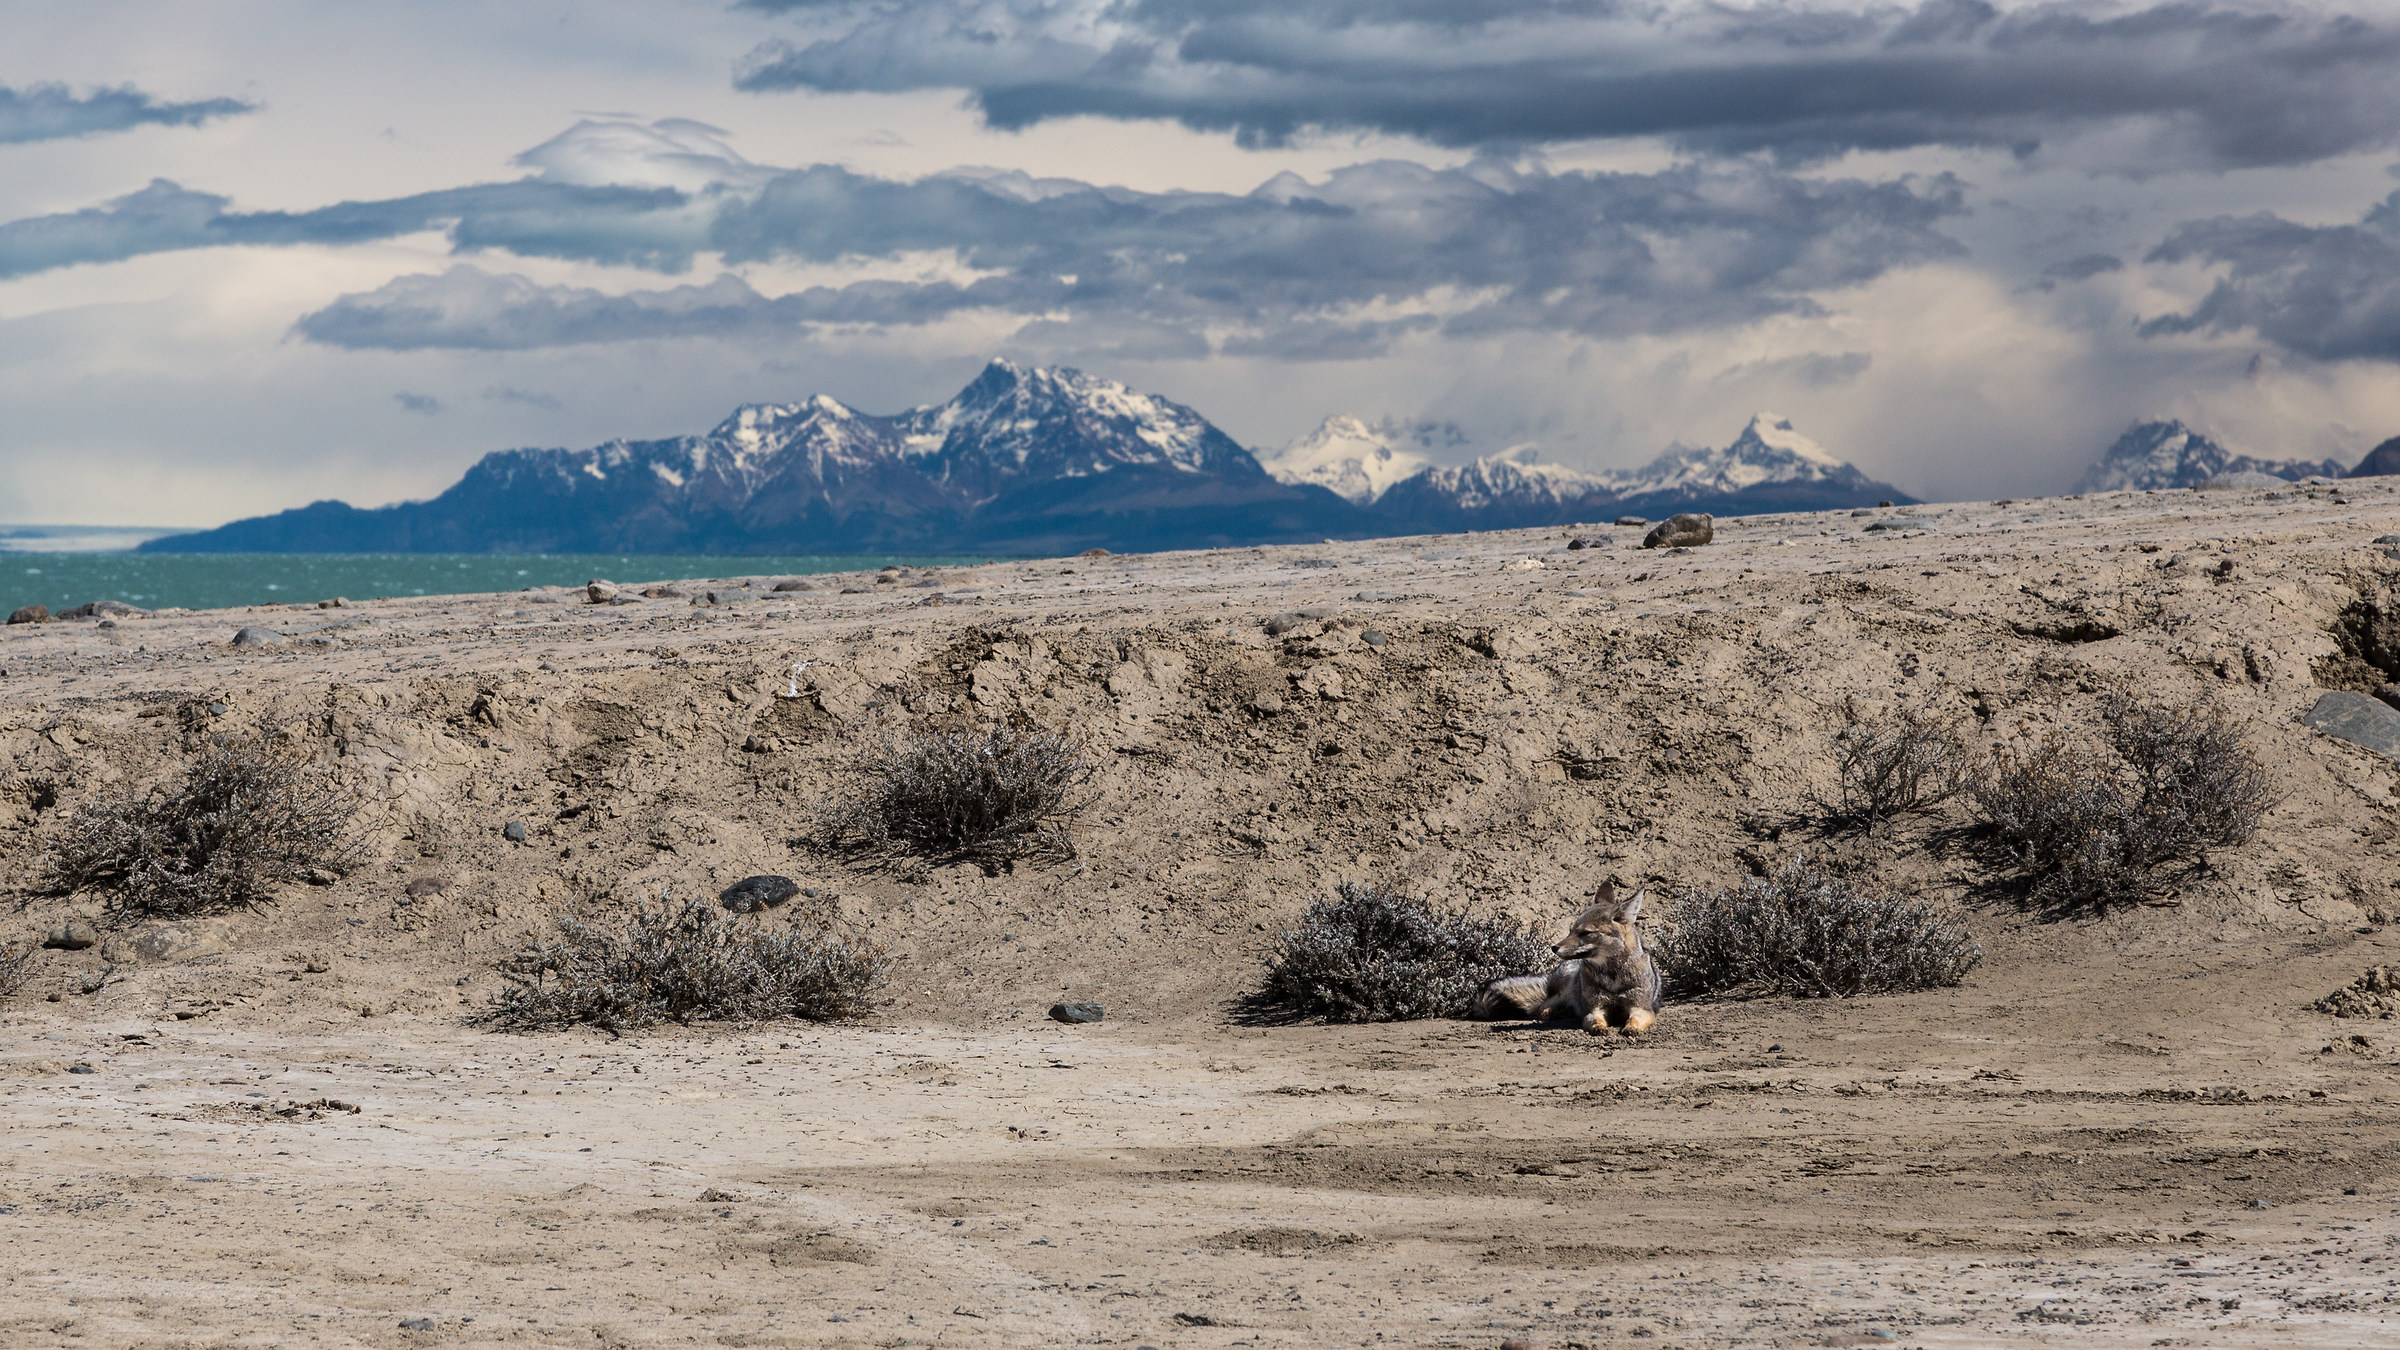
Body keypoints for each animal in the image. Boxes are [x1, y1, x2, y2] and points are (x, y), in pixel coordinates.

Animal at [1472, 882, 1662, 1035]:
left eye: (1585, 933)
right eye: (1571, 931)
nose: (1554, 947)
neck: (1613, 976)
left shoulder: (1641, 1008)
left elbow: (1634, 1019)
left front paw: (1631, 1028)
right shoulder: (1595, 1008)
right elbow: (1595, 1019)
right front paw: (1599, 1027)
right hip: (1564, 991)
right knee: (1543, 1005)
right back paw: (1551, 1012)